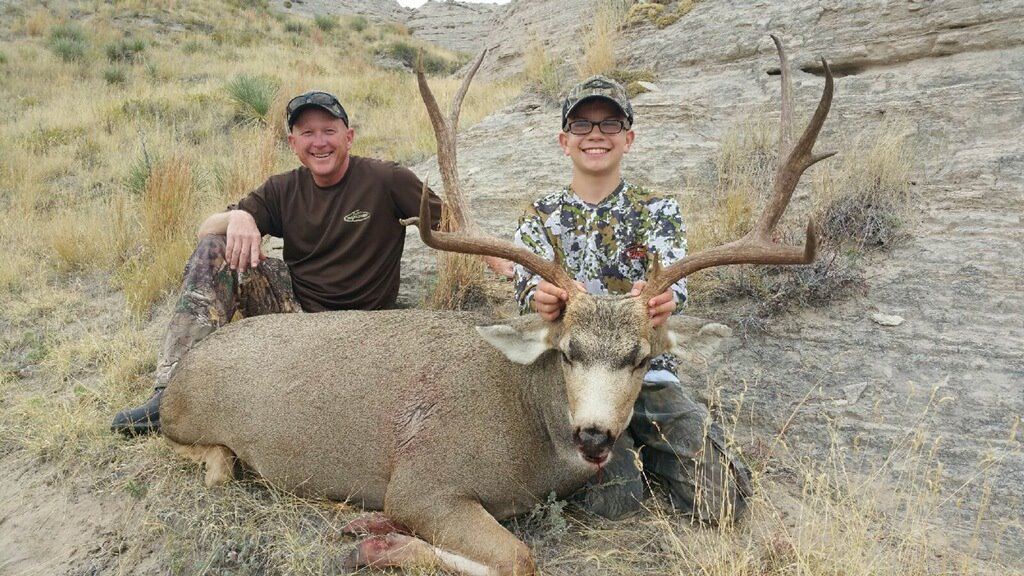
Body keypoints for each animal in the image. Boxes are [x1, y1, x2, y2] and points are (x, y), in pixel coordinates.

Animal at [160, 36, 835, 576]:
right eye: (567, 352)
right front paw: (375, 537)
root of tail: (183, 373)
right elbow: (519, 556)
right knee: (208, 460)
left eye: (643, 358)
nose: (594, 435)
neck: (525, 428)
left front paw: (373, 534)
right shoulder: (422, 480)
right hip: (188, 423)